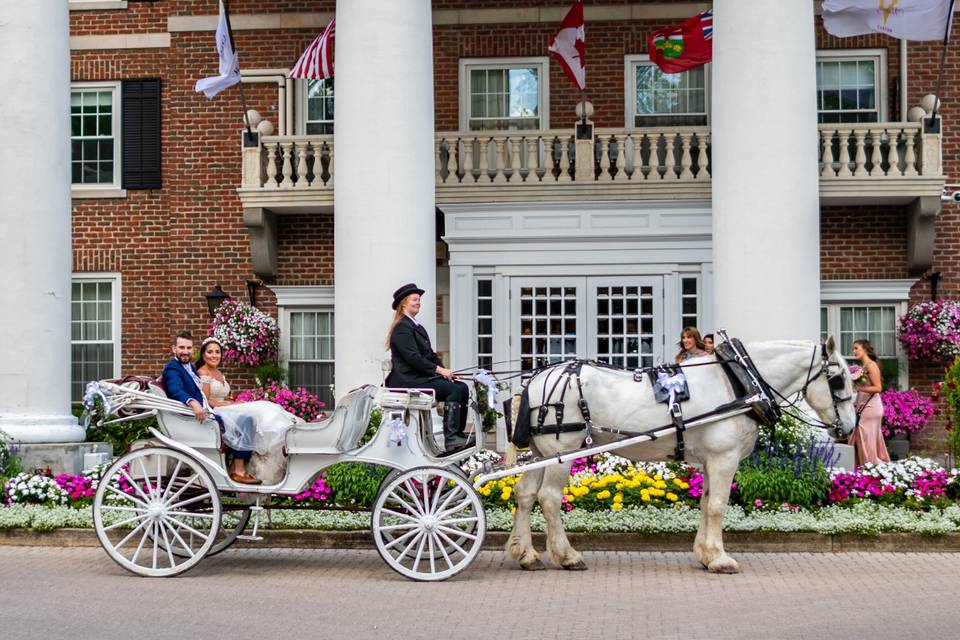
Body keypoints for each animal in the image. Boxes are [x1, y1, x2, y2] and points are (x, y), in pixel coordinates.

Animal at [506, 340, 860, 576]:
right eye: (839, 379)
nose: (849, 426)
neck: (737, 384)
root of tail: (536, 379)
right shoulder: (724, 458)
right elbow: (717, 506)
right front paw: (720, 559)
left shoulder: (710, 461)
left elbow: (705, 503)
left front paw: (704, 554)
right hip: (562, 452)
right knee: (549, 498)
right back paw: (567, 555)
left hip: (542, 453)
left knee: (525, 494)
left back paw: (526, 554)